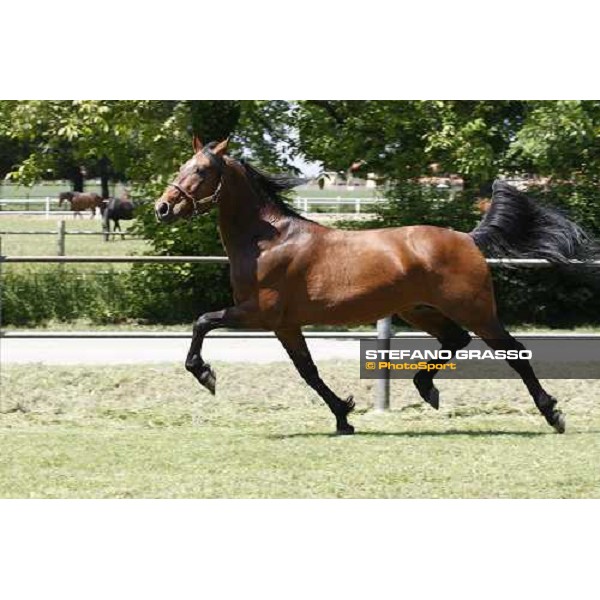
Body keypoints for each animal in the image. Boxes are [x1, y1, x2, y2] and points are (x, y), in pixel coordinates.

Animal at [154, 137, 596, 436]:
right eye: (182, 166)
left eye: (201, 170)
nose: (162, 208)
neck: (268, 240)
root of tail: (468, 238)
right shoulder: (286, 324)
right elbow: (308, 371)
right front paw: (343, 415)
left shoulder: (259, 314)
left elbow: (202, 321)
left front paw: (205, 374)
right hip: (419, 310)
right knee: (456, 340)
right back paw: (426, 389)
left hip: (474, 308)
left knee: (513, 351)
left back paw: (553, 414)